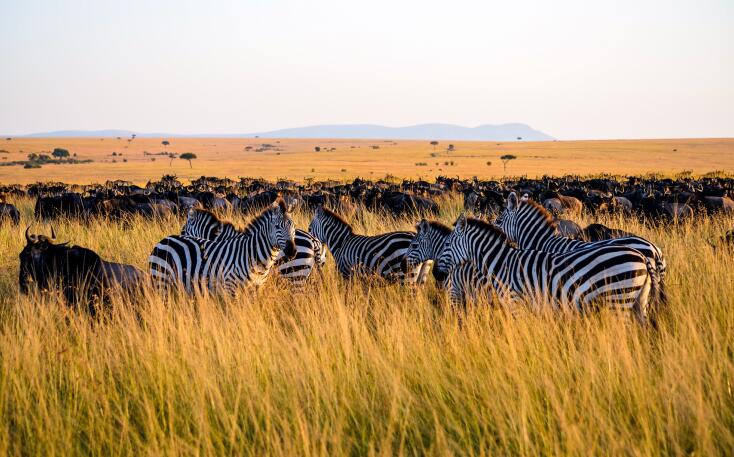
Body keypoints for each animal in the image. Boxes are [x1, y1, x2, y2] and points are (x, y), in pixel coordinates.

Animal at [148, 200, 298, 294]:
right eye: (277, 227)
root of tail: (163, 240)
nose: (292, 251)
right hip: (161, 280)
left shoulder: (256, 288)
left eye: (293, 226)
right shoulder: (230, 287)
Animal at [436, 214, 656, 320]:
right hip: (638, 301)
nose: (436, 274)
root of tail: (643, 257)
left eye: (446, 244)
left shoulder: (516, 304)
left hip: (618, 299)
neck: (501, 264)